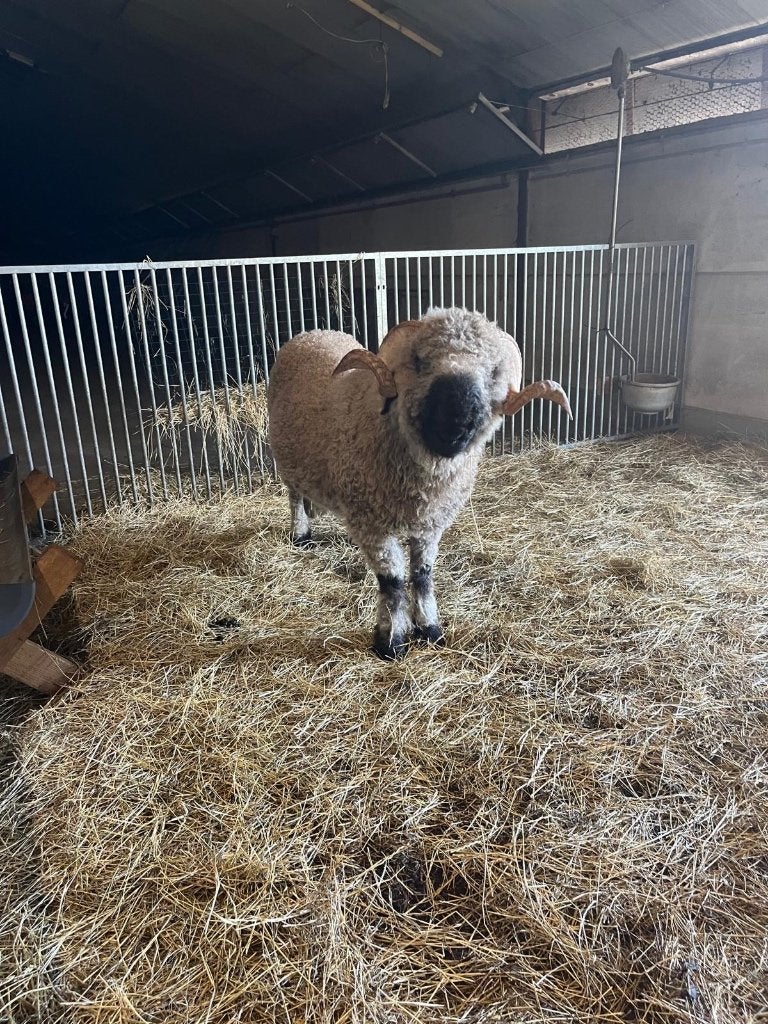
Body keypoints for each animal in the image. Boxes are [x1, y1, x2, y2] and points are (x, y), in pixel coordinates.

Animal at [267, 307, 571, 660]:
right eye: (419, 361)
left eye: (493, 372)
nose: (456, 420)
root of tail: (313, 332)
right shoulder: (371, 523)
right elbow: (393, 581)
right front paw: (391, 641)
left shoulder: (431, 523)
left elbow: (422, 575)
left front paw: (429, 629)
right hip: (287, 461)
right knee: (294, 496)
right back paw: (300, 534)